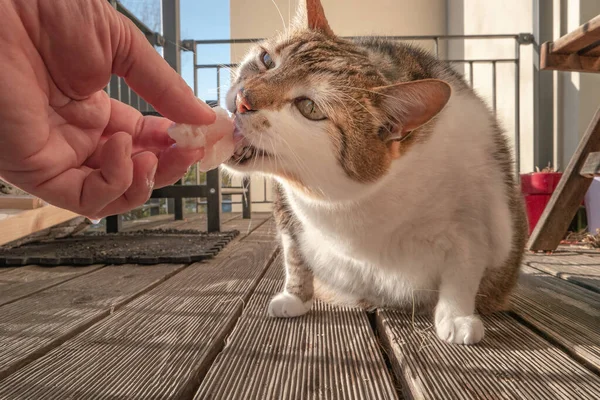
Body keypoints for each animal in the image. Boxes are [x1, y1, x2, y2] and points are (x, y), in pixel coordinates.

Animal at [224, 0, 524, 344]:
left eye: (308, 107)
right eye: (266, 60)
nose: (242, 100)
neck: (352, 204)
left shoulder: (476, 222)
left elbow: (462, 270)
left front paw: (457, 317)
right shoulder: (286, 209)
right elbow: (294, 255)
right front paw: (294, 297)